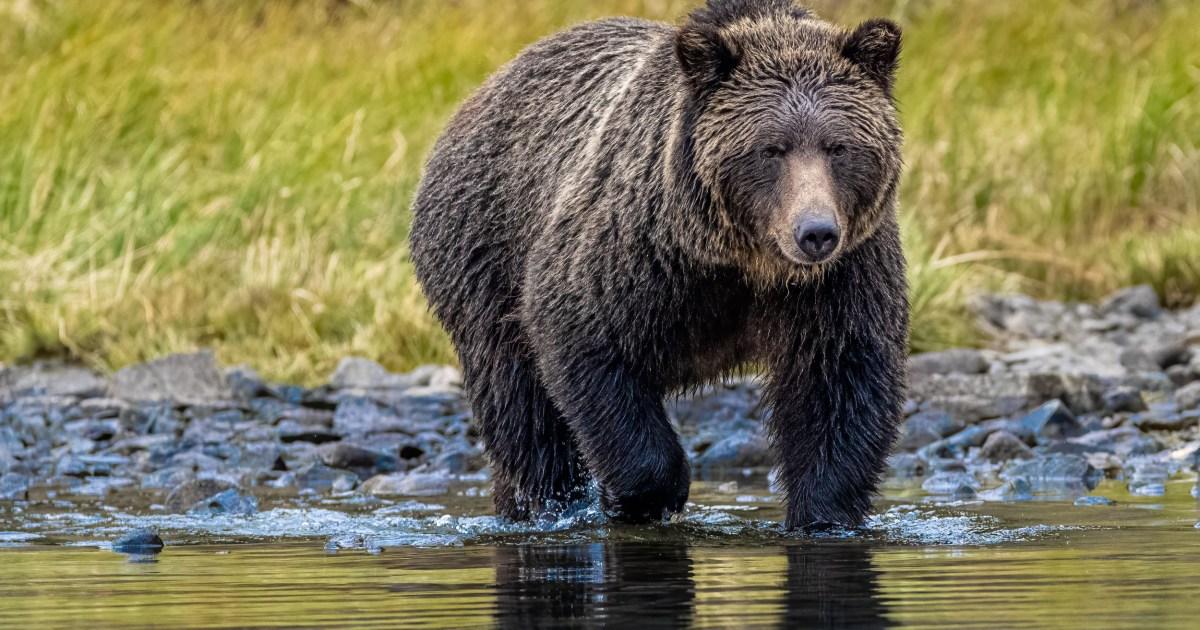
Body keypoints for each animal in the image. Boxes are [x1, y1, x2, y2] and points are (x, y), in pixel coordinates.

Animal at [409, 0, 908, 530]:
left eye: (839, 146)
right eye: (770, 149)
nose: (815, 232)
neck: (744, 263)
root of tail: (479, 95)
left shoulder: (841, 278)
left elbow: (841, 384)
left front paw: (823, 514)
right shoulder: (634, 253)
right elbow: (585, 340)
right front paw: (638, 496)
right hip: (484, 250)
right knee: (520, 405)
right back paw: (546, 504)